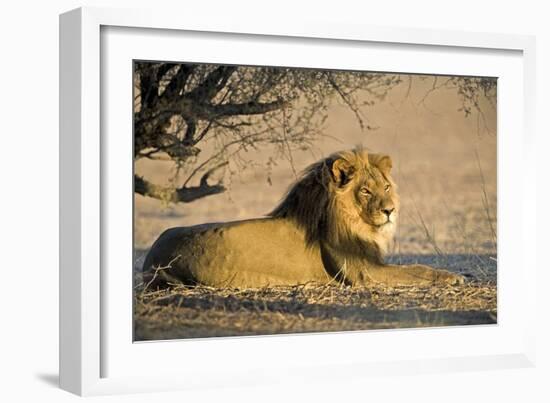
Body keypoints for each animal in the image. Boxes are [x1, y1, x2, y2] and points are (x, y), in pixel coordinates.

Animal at [142, 148, 466, 290]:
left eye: (386, 187)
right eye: (365, 190)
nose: (390, 210)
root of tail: (150, 256)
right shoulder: (364, 273)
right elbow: (417, 269)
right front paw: (455, 276)